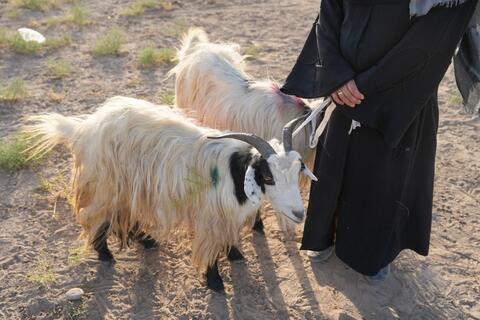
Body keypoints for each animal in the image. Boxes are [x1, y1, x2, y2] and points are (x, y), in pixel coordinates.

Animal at [23, 96, 316, 292]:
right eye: (268, 176)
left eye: (297, 171)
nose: (299, 214)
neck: (235, 172)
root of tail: (82, 129)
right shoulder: (210, 216)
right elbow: (209, 248)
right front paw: (215, 281)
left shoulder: (226, 215)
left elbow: (229, 237)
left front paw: (235, 254)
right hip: (106, 185)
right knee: (97, 217)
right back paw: (105, 254)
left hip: (129, 187)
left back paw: (146, 240)